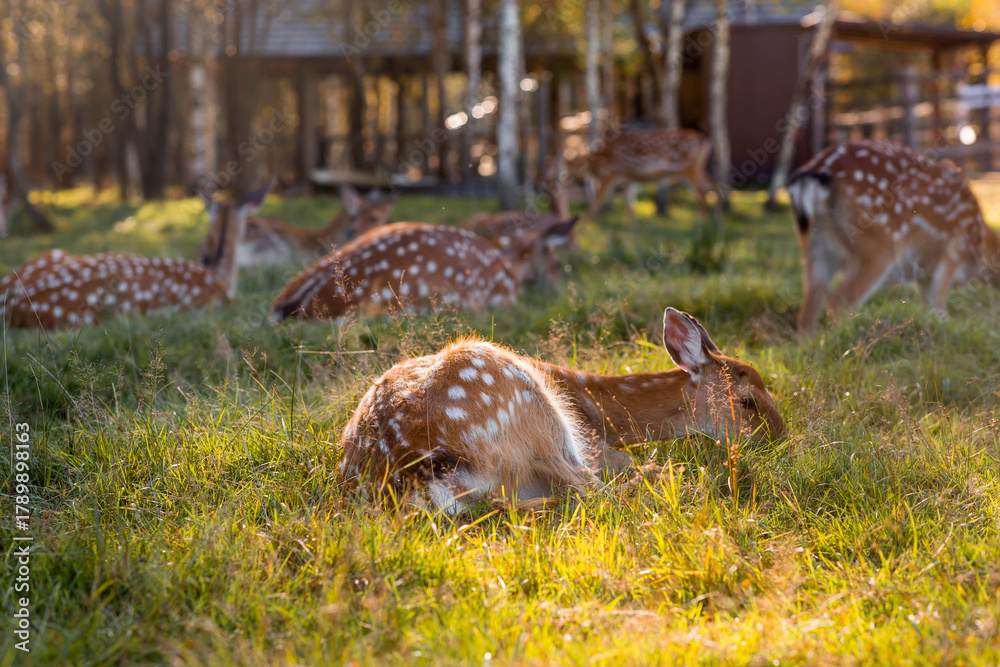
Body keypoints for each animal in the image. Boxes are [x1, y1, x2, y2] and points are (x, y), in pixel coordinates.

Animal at [337, 307, 785, 514]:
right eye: (747, 400)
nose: (780, 439)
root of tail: (415, 474)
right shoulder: (598, 444)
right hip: (530, 407)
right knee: (594, 491)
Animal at [570, 128, 718, 225]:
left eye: (572, 166)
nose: (570, 178)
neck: (596, 162)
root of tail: (705, 139)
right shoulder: (629, 181)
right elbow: (630, 206)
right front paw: (634, 229)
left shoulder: (609, 174)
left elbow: (595, 203)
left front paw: (582, 228)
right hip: (697, 168)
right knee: (715, 185)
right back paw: (715, 222)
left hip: (689, 169)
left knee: (704, 192)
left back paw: (700, 225)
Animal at [787, 139, 1000, 333]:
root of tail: (816, 170)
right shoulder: (954, 252)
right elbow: (940, 307)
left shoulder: (924, 275)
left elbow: (929, 310)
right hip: (878, 245)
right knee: (836, 306)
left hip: (814, 248)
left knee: (806, 314)